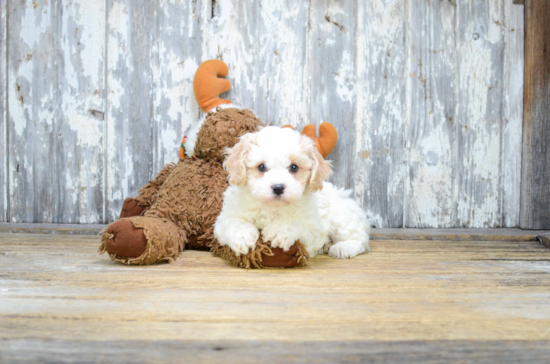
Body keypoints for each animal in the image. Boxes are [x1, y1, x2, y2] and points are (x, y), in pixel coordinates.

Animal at [213, 125, 374, 258]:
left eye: (294, 167)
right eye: (261, 167)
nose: (278, 187)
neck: (272, 208)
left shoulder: (313, 227)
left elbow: (295, 223)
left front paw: (279, 231)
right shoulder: (225, 217)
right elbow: (234, 223)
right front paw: (243, 238)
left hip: (341, 218)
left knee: (360, 239)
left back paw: (343, 247)